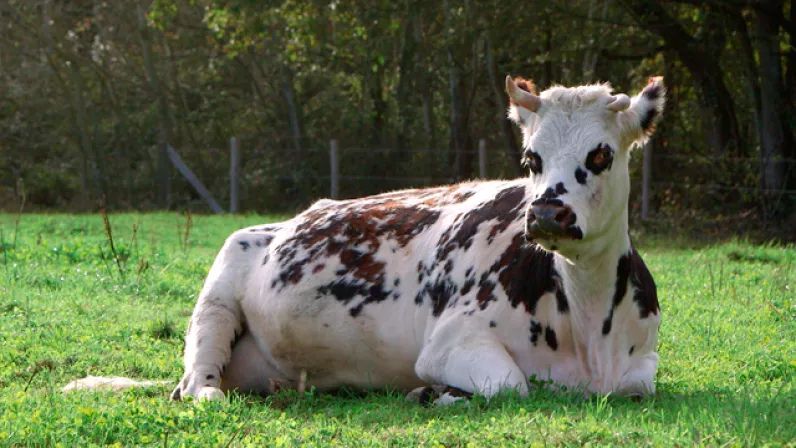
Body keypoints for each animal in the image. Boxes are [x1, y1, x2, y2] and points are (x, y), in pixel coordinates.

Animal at [161, 76, 665, 404]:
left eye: (601, 155)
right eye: (531, 157)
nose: (545, 213)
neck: (587, 322)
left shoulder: (642, 361)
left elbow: (638, 384)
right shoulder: (451, 342)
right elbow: (510, 385)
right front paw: (434, 392)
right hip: (217, 296)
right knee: (198, 385)